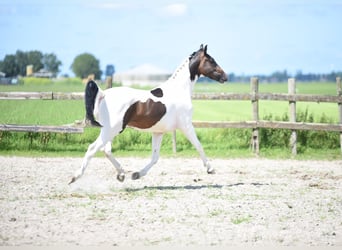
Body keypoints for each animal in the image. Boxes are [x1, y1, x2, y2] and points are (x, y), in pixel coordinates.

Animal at [69, 44, 227, 184]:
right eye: (211, 60)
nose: (225, 77)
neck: (179, 90)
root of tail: (103, 94)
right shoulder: (186, 125)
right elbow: (199, 145)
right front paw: (210, 169)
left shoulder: (158, 132)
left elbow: (155, 157)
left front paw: (136, 175)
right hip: (111, 130)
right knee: (93, 148)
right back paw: (74, 177)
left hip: (109, 130)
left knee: (106, 150)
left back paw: (121, 174)